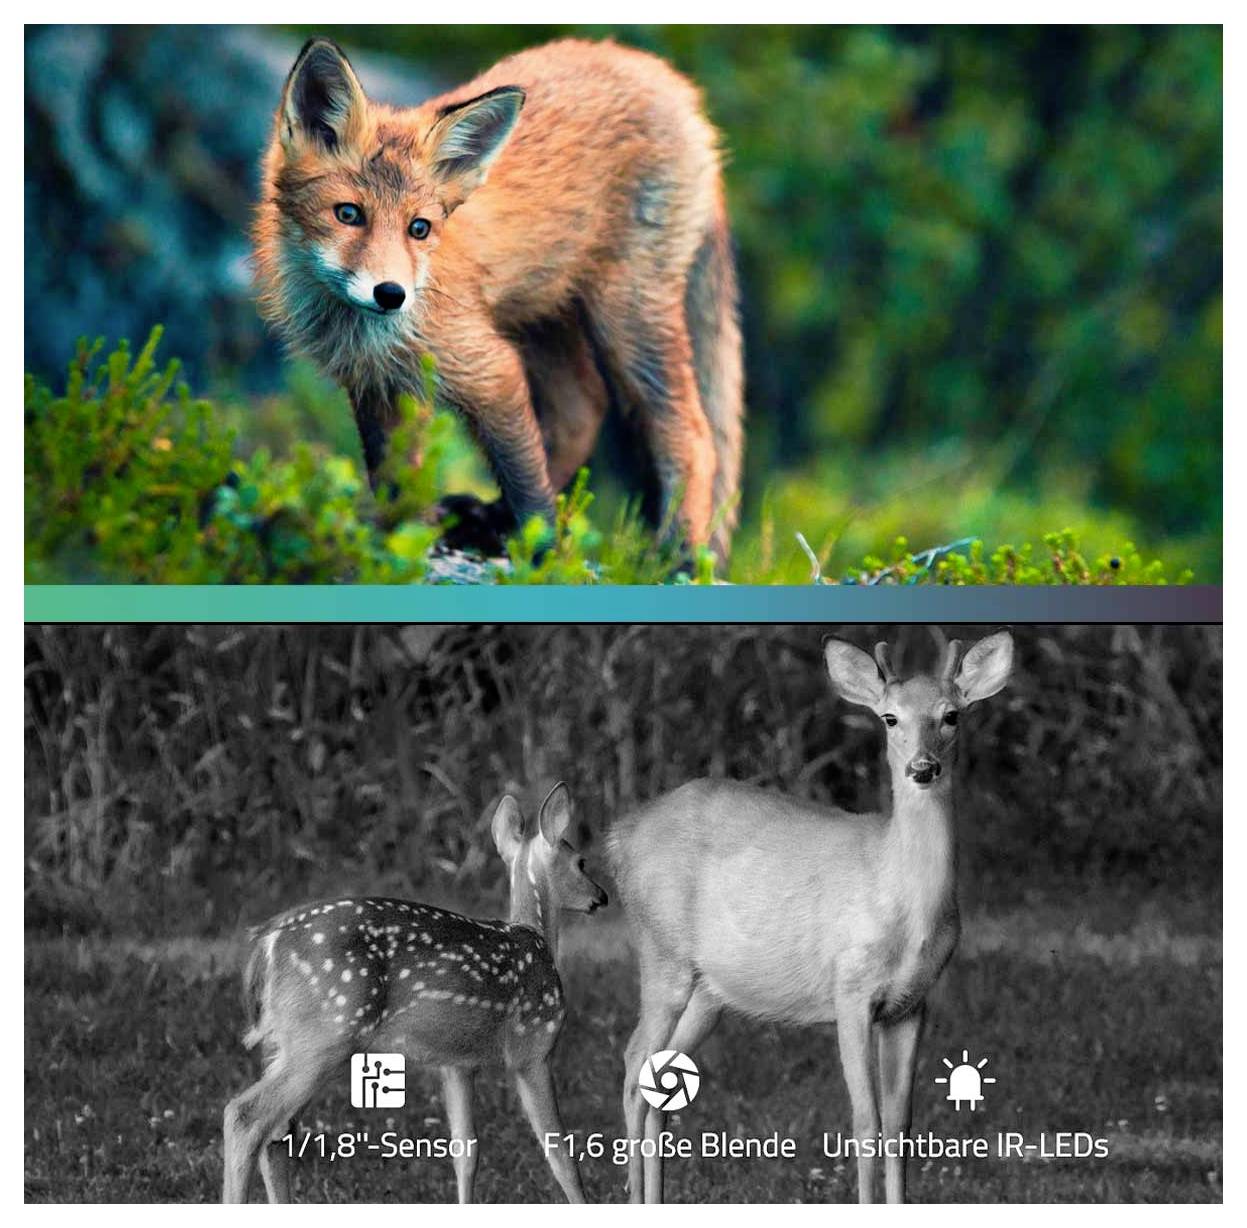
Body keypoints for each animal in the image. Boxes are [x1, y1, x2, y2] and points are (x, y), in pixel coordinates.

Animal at [254, 36, 744, 560]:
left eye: (419, 228)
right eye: (348, 214)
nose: (390, 295)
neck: (360, 329)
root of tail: (668, 79)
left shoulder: (488, 367)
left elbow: (524, 476)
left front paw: (542, 554)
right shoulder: (377, 382)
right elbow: (393, 479)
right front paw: (402, 540)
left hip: (624, 315)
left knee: (691, 432)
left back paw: (679, 554)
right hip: (544, 316)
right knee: (581, 410)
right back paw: (488, 519)